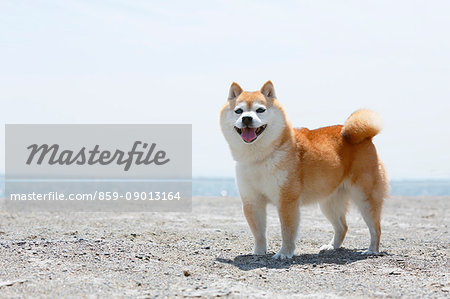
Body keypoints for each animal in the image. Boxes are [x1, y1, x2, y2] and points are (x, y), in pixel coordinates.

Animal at [220, 81, 388, 260]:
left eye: (260, 110)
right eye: (239, 111)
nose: (246, 118)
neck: (260, 158)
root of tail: (365, 137)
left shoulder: (287, 201)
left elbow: (287, 231)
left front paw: (284, 253)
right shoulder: (252, 201)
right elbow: (258, 233)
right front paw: (258, 252)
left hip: (365, 198)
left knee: (375, 228)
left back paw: (372, 250)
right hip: (329, 203)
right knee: (342, 227)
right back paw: (332, 247)